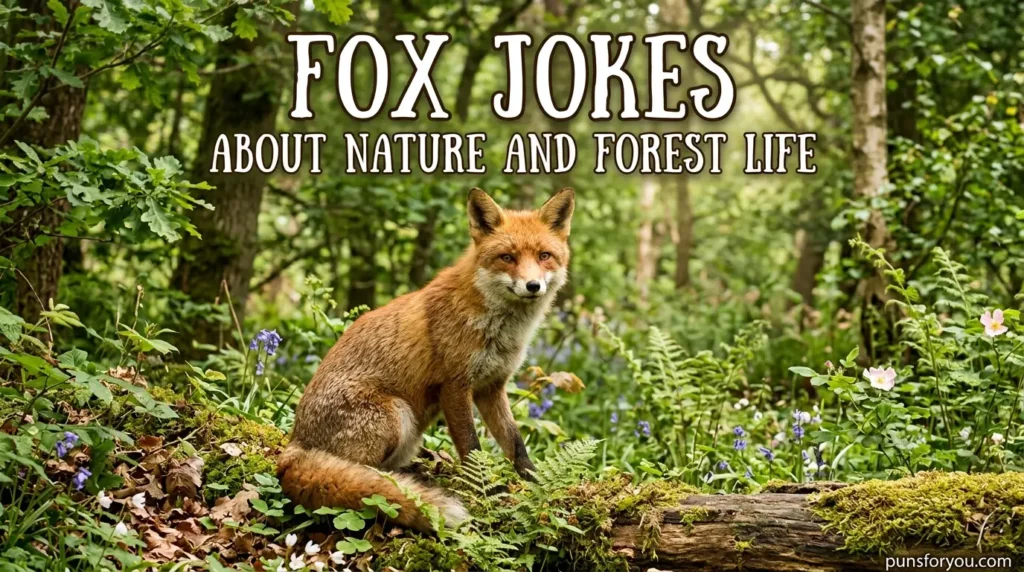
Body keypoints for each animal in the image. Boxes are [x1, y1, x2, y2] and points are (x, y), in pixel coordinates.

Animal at [277, 187, 575, 532]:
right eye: (508, 258)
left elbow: (515, 444)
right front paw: (489, 493)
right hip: (397, 414)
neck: (499, 328)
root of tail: (294, 444)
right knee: (355, 471)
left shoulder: (492, 386)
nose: (532, 286)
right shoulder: (455, 386)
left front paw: (536, 483)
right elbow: (472, 447)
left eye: (544, 256)